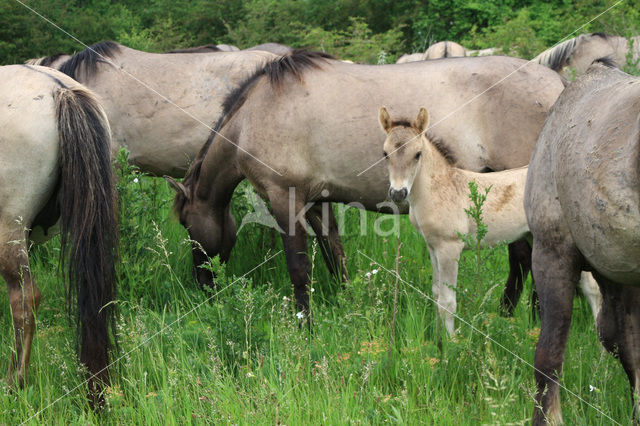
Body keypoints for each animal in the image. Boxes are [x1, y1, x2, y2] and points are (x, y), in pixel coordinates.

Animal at [171, 51, 564, 314]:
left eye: (188, 226)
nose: (204, 287)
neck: (257, 114)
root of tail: (559, 84)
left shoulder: (285, 200)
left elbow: (299, 268)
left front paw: (304, 325)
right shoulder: (317, 201)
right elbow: (334, 256)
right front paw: (347, 304)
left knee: (526, 258)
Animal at [380, 106, 600, 336]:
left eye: (417, 154)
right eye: (385, 154)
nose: (398, 193)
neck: (441, 187)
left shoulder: (450, 247)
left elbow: (447, 301)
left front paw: (450, 342)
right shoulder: (433, 247)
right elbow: (436, 293)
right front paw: (437, 338)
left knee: (591, 287)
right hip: (535, 236)